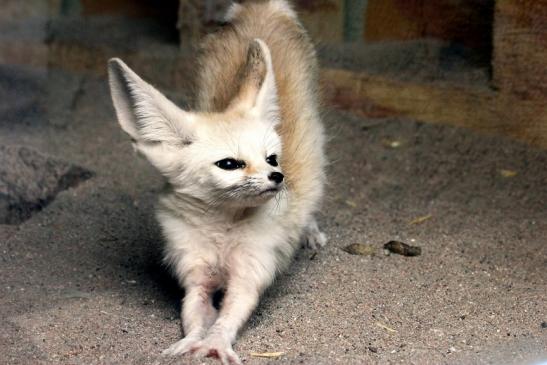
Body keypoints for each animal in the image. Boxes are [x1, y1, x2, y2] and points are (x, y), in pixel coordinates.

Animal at [109, 1, 328, 362]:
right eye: (229, 165)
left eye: (272, 159)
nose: (278, 177)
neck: (221, 226)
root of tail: (261, 10)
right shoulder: (195, 276)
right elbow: (195, 314)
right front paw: (190, 342)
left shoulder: (249, 276)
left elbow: (228, 317)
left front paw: (216, 343)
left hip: (316, 150)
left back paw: (309, 231)